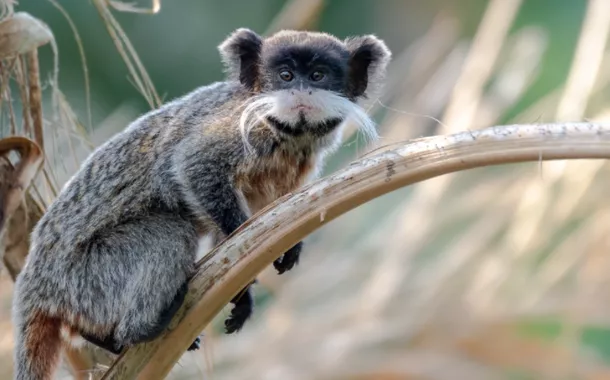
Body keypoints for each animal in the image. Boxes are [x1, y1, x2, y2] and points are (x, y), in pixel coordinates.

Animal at [10, 27, 390, 380]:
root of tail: (34, 288)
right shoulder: (242, 129)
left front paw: (258, 278)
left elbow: (267, 217)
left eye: (317, 76)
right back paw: (143, 327)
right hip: (85, 277)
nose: (300, 92)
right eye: (285, 76)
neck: (289, 138)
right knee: (169, 232)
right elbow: (194, 167)